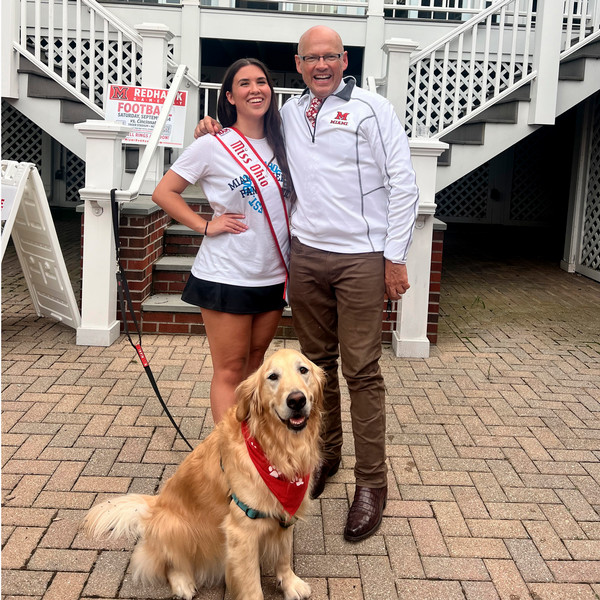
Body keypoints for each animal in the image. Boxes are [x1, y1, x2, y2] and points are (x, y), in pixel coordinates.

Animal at [83, 346, 324, 600]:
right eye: (272, 377)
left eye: (303, 370)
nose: (297, 400)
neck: (276, 449)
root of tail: (155, 505)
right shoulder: (243, 529)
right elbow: (251, 585)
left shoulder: (286, 512)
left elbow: (284, 554)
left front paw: (290, 583)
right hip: (177, 528)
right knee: (170, 564)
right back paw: (183, 583)